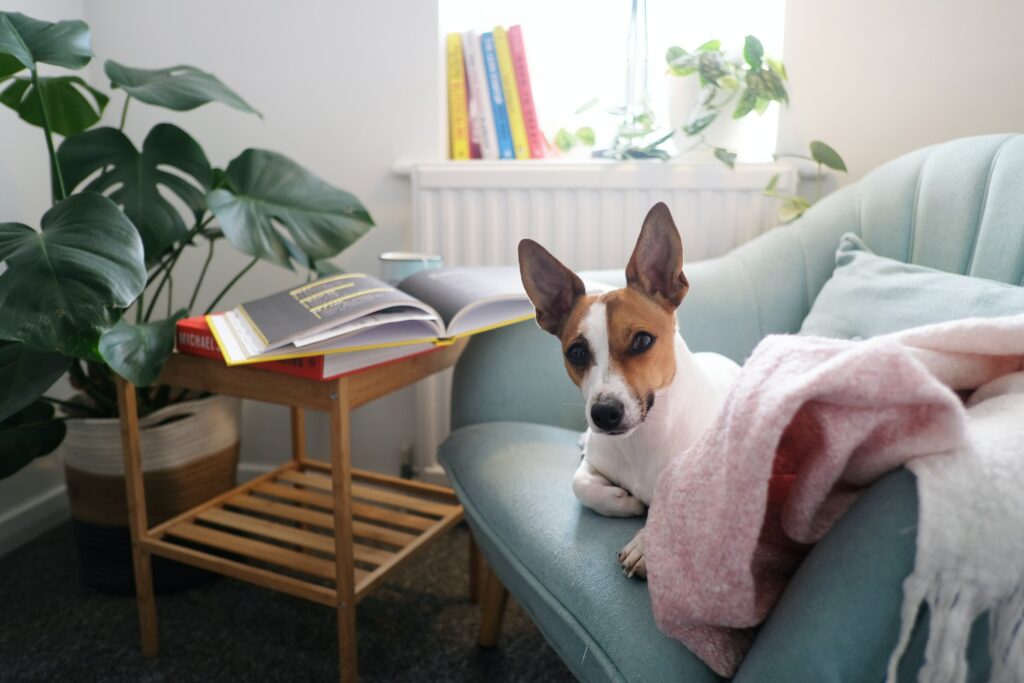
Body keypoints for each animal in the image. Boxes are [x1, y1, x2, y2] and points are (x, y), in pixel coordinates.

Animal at [516, 201, 741, 577]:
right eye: (577, 352)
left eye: (642, 341)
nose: (604, 414)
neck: (642, 441)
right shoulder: (594, 462)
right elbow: (579, 484)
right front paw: (623, 501)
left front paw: (646, 545)